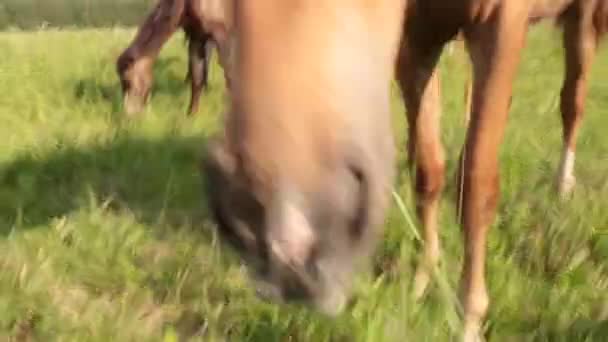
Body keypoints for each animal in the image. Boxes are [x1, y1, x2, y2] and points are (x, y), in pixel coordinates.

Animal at [203, 0, 604, 342]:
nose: (287, 232)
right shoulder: (416, 39)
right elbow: (428, 169)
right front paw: (424, 278)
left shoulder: (502, 22)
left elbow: (475, 181)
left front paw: (470, 319)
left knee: (573, 100)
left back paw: (563, 184)